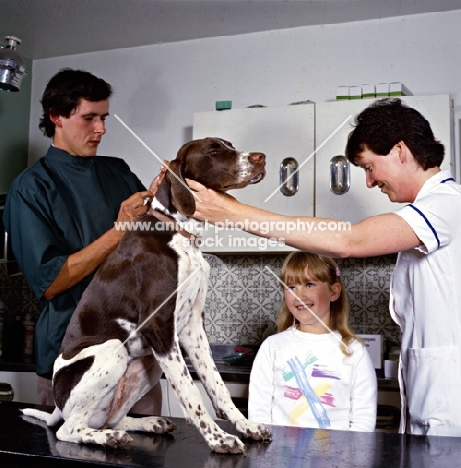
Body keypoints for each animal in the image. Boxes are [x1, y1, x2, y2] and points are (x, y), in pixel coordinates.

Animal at [23, 138, 272, 454]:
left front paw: (246, 426)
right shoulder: (159, 327)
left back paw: (148, 423)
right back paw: (108, 438)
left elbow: (216, 384)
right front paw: (218, 438)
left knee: (108, 420)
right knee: (68, 430)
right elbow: (191, 393)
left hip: (149, 363)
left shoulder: (192, 328)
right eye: (214, 151)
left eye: (229, 145)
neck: (178, 234)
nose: (261, 158)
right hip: (113, 350)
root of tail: (57, 403)